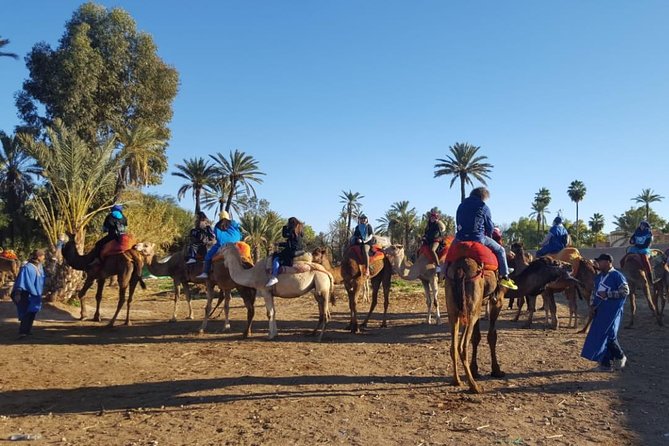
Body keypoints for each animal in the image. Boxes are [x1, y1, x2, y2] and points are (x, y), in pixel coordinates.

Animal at [444, 254, 576, 394]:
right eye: (555, 262)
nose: (570, 266)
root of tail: (459, 270)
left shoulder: (481, 303)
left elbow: (476, 337)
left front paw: (475, 370)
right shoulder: (497, 300)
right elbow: (492, 336)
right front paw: (496, 371)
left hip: (456, 309)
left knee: (453, 345)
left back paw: (456, 380)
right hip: (471, 308)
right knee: (462, 346)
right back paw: (474, 386)